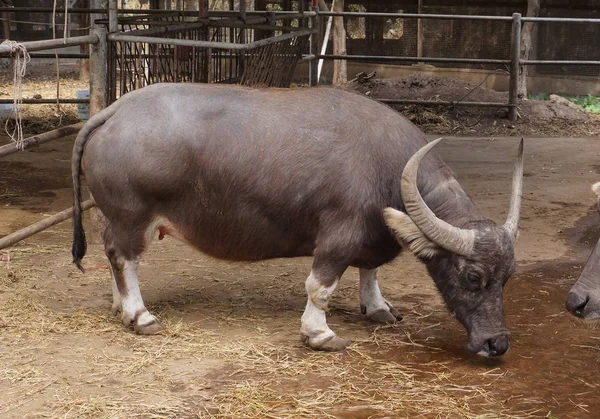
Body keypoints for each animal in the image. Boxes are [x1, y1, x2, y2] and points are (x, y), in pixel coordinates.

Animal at [72, 83, 524, 358]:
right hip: (133, 217)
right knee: (123, 256)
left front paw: (378, 307)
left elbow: (371, 271)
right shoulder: (338, 238)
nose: (497, 342)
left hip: (117, 217)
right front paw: (320, 333)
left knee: (113, 254)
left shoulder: (371, 236)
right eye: (472, 276)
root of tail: (114, 111)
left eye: (507, 278)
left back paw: (119, 304)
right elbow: (319, 287)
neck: (389, 167)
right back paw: (139, 314)